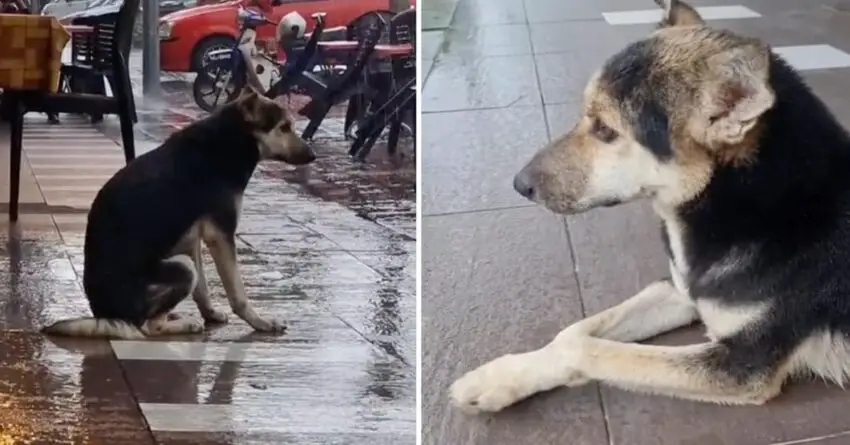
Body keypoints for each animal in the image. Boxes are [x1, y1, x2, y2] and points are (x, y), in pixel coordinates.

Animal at [43, 86, 314, 336]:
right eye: (284, 127)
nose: (313, 155)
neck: (229, 139)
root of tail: (106, 315)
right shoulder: (220, 235)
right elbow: (238, 293)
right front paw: (260, 322)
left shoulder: (191, 238)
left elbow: (202, 289)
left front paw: (211, 314)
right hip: (182, 267)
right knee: (149, 327)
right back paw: (184, 324)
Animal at [454, 0, 850, 410]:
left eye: (605, 130)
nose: (520, 184)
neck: (746, 202)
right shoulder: (677, 290)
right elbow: (574, 332)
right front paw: (501, 376)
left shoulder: (743, 364)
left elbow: (583, 347)